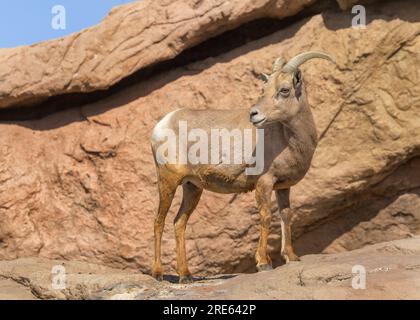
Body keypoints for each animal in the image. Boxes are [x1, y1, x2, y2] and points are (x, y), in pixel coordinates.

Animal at [151, 50, 334, 282]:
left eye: (284, 90)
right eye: (263, 90)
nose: (254, 114)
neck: (288, 140)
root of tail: (161, 125)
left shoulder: (283, 187)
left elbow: (286, 215)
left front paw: (291, 257)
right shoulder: (264, 182)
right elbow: (266, 216)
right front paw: (264, 263)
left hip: (192, 188)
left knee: (178, 223)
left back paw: (186, 276)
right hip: (168, 181)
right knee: (159, 221)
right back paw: (158, 273)